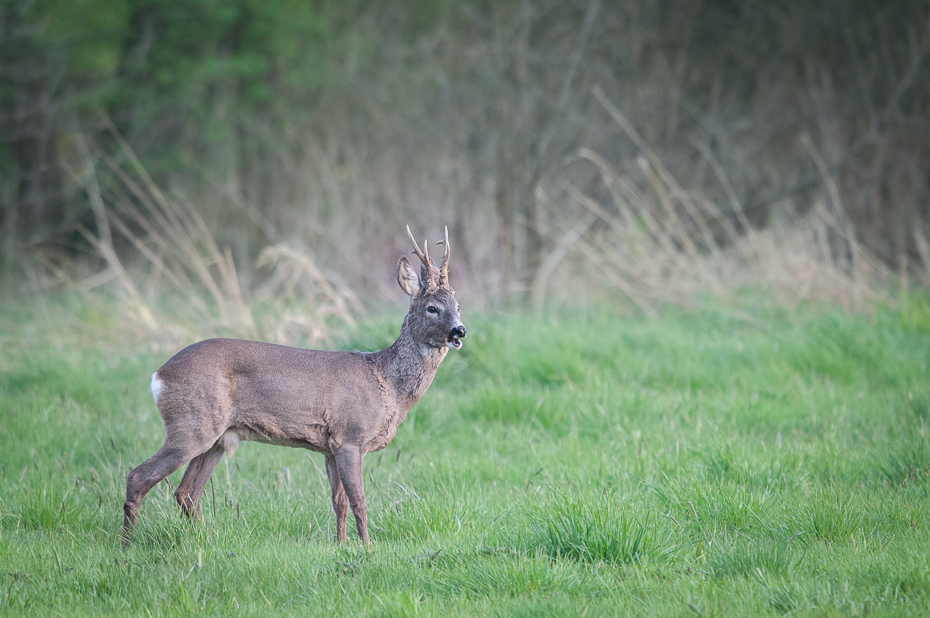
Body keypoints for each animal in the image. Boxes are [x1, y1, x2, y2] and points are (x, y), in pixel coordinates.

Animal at [125, 227, 464, 544]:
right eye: (432, 307)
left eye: (458, 305)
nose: (459, 330)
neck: (387, 384)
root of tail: (159, 375)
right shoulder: (351, 437)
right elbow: (359, 502)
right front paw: (368, 548)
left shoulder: (330, 447)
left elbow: (339, 503)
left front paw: (341, 546)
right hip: (192, 423)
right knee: (138, 476)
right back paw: (126, 546)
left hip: (217, 436)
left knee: (186, 491)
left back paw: (205, 539)